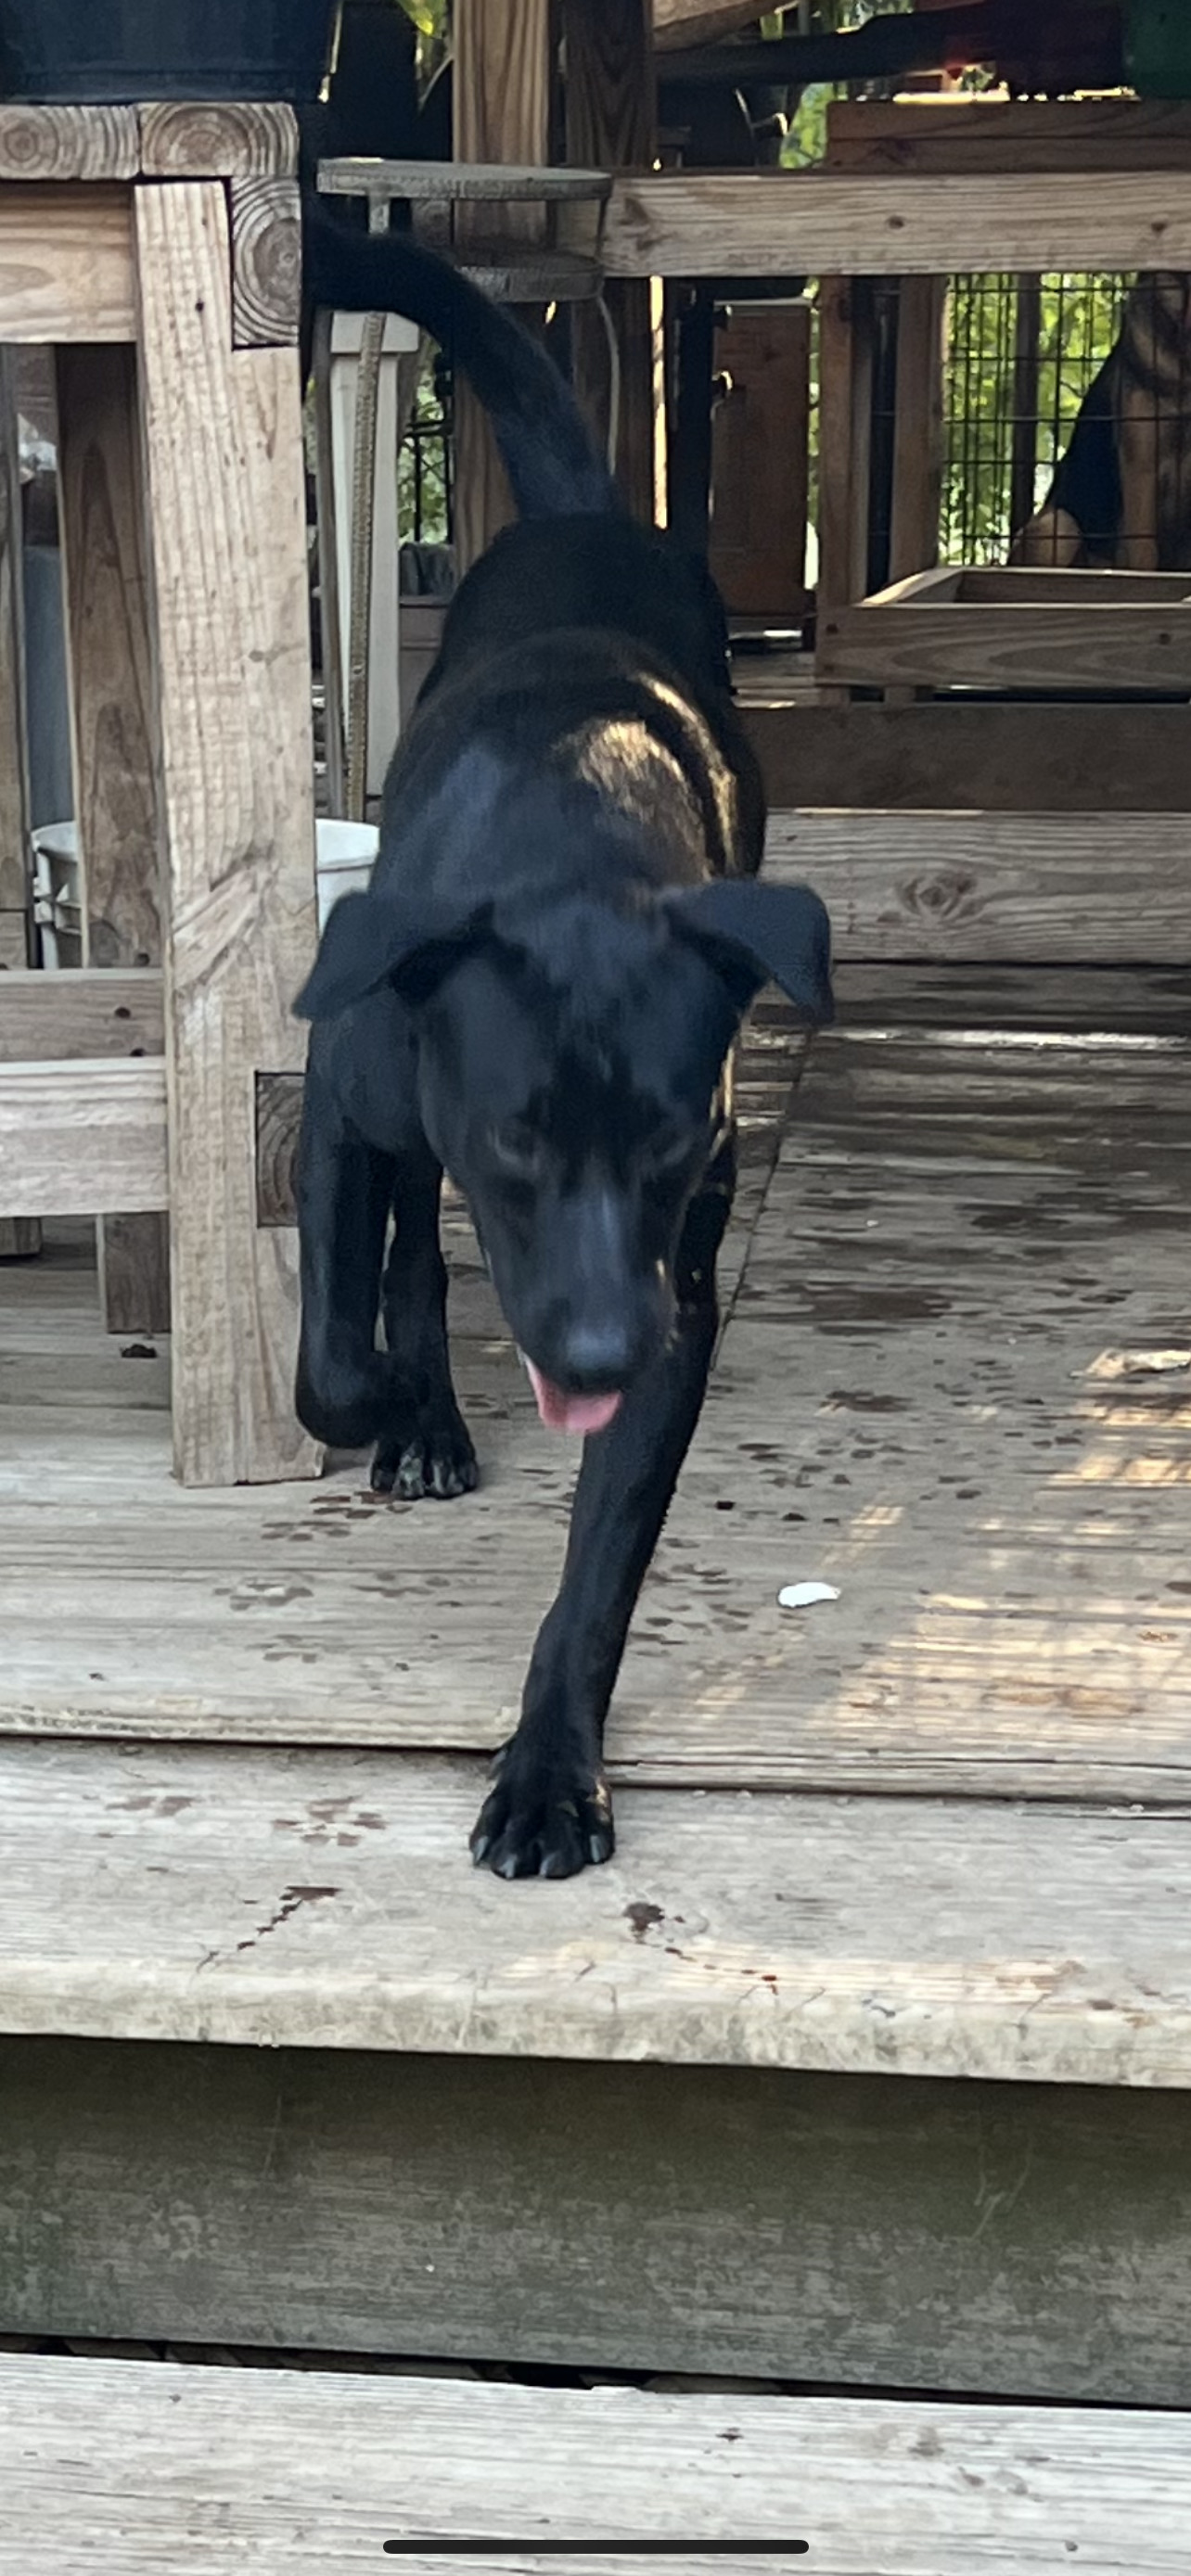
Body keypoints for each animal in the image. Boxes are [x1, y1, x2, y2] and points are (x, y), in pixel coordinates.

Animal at [298, 216, 835, 1875]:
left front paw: (549, 1771)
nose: (594, 1353)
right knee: (406, 1250)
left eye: (669, 1140)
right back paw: (424, 1415)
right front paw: (391, 1404)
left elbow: (598, 1574)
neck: (575, 840)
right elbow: (329, 1355)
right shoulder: (347, 1106)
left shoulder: (677, 1300)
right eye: (518, 1141)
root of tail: (591, 516)